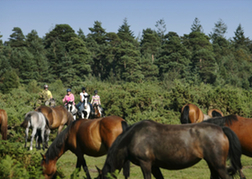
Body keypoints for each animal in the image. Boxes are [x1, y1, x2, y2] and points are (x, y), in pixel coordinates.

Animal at [96, 119, 242, 179]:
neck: (133, 137)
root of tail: (221, 129)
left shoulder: (145, 164)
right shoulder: (154, 166)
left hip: (218, 165)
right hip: (212, 164)